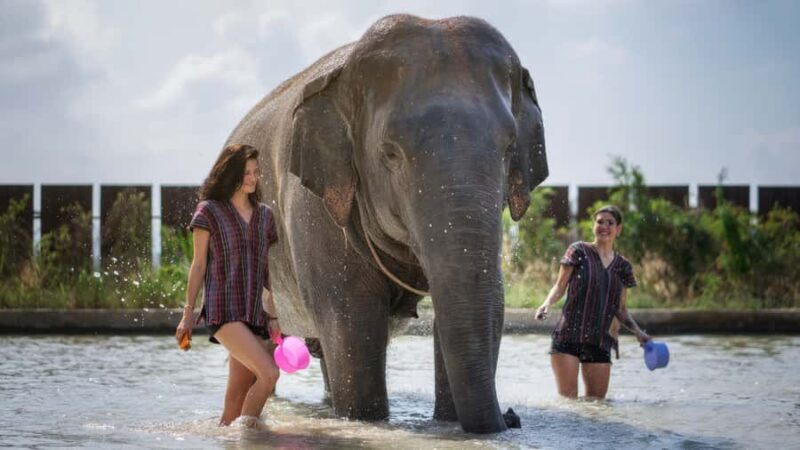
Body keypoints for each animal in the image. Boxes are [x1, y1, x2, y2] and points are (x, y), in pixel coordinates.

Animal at [224, 14, 547, 433]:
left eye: (509, 148)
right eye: (390, 153)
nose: (511, 418)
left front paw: (449, 422)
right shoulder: (313, 208)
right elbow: (352, 323)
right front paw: (365, 420)